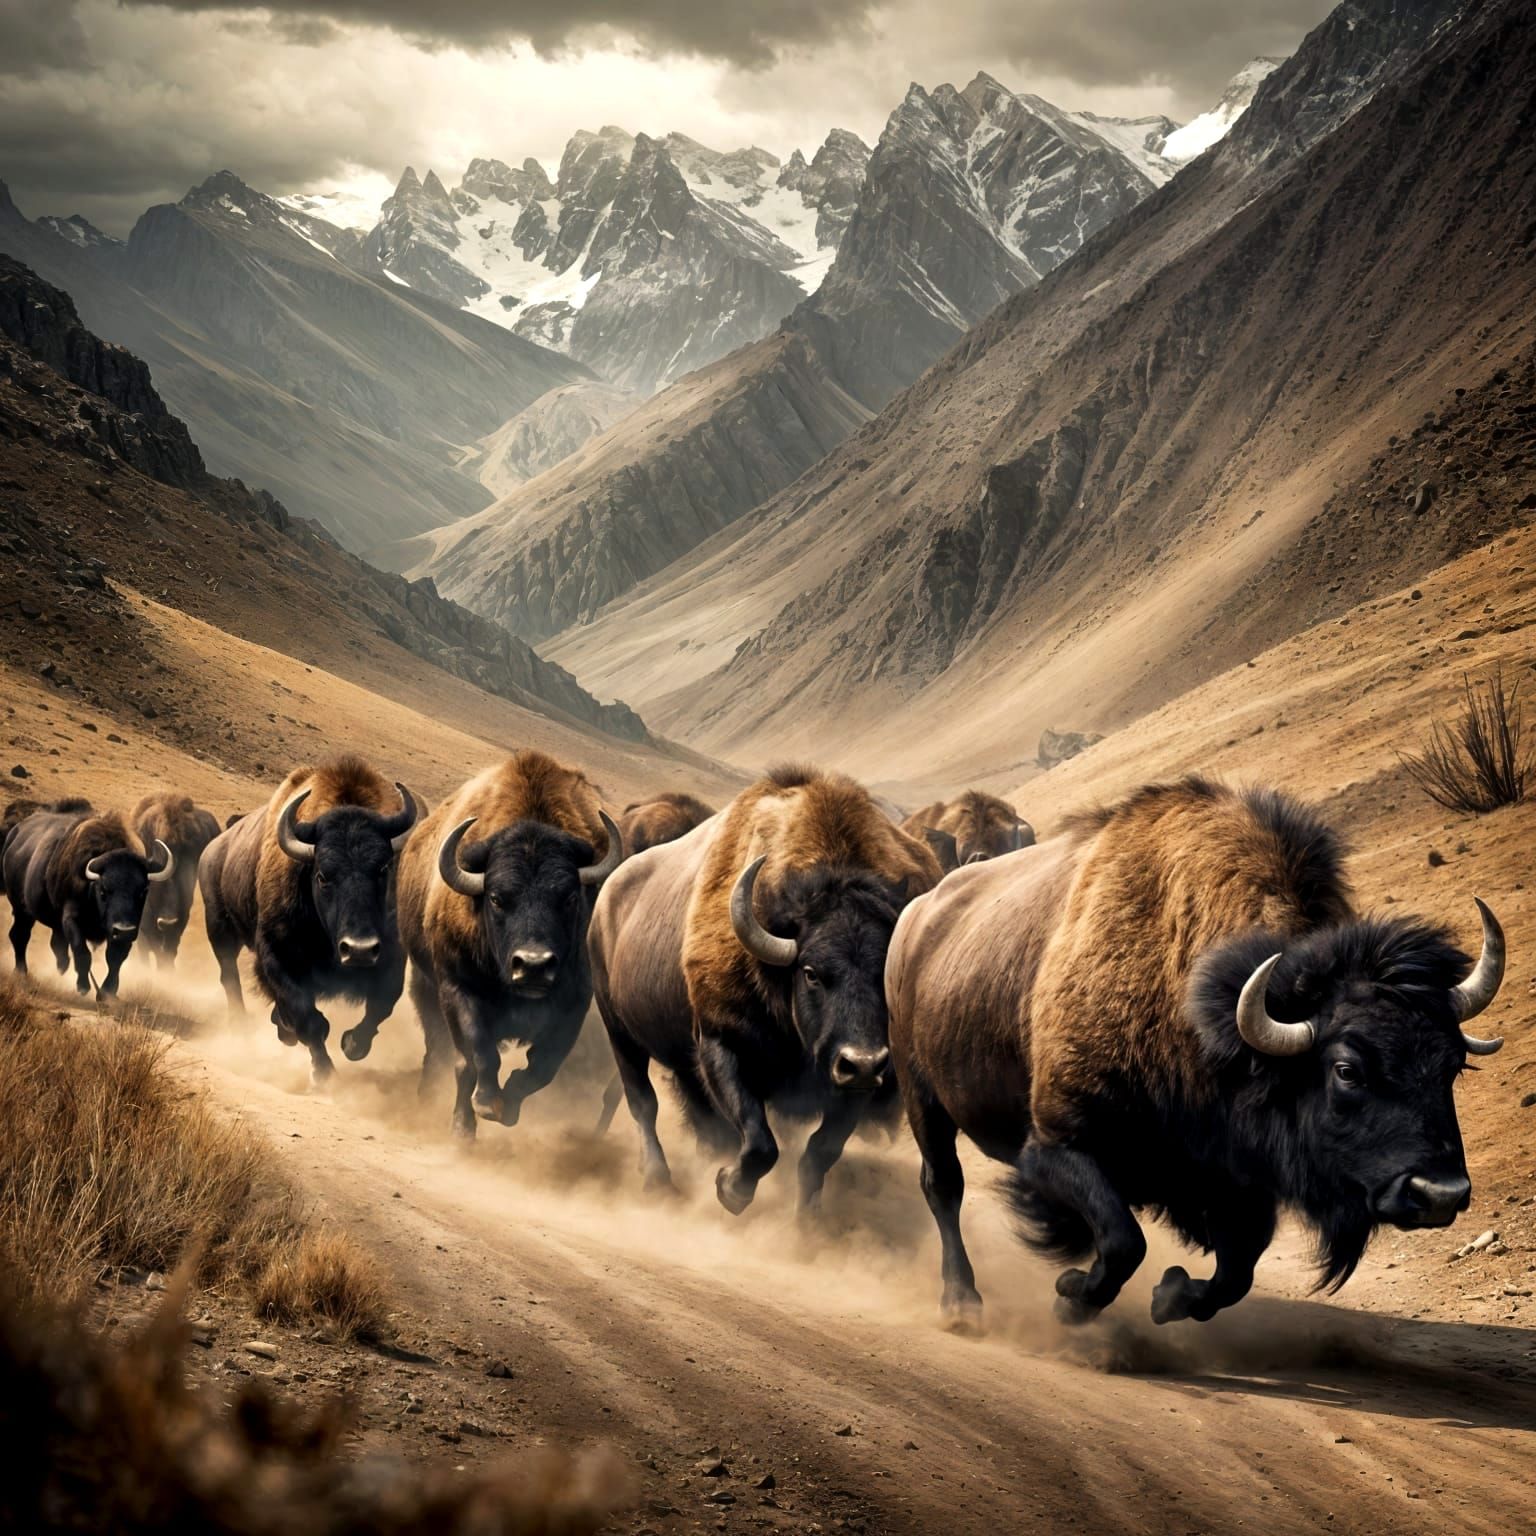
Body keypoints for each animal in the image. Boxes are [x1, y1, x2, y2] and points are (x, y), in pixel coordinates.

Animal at [3, 799, 174, 998]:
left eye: (143, 890)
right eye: (103, 890)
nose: (123, 929)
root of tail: (16, 834)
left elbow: (115, 958)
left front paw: (108, 993)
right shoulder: (72, 919)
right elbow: (82, 951)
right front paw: (83, 986)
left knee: (55, 945)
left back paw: (60, 970)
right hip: (22, 910)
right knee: (20, 935)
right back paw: (22, 972)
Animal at [198, 757, 418, 1082]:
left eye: (383, 869)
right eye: (323, 875)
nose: (359, 950)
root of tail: (213, 849)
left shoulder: (391, 956)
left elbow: (381, 1006)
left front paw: (351, 1043)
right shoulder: (277, 957)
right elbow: (310, 1019)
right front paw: (324, 1074)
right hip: (220, 930)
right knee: (229, 976)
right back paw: (243, 1025)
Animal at [396, 750, 622, 1138]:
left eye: (568, 898)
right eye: (497, 898)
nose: (533, 965)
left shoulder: (574, 1004)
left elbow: (542, 1067)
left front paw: (509, 1105)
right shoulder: (459, 989)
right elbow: (476, 1057)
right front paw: (481, 1110)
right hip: (425, 987)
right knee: (439, 1051)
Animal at [591, 764, 940, 1215]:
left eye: (884, 973)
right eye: (811, 973)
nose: (862, 1062)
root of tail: (608, 896)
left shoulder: (856, 1082)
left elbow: (820, 1150)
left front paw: (805, 1219)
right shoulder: (722, 1045)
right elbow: (760, 1142)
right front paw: (730, 1190)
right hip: (619, 1031)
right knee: (642, 1102)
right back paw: (658, 1180)